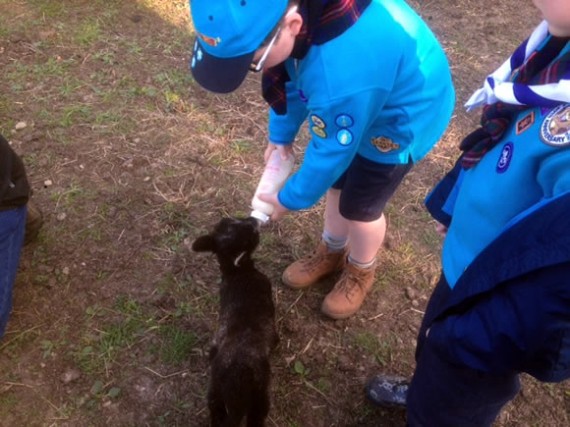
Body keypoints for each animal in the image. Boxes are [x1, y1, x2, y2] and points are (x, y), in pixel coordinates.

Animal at [192, 217, 278, 427]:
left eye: (229, 220)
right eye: (251, 236)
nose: (253, 220)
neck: (237, 270)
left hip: (215, 396)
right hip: (260, 400)